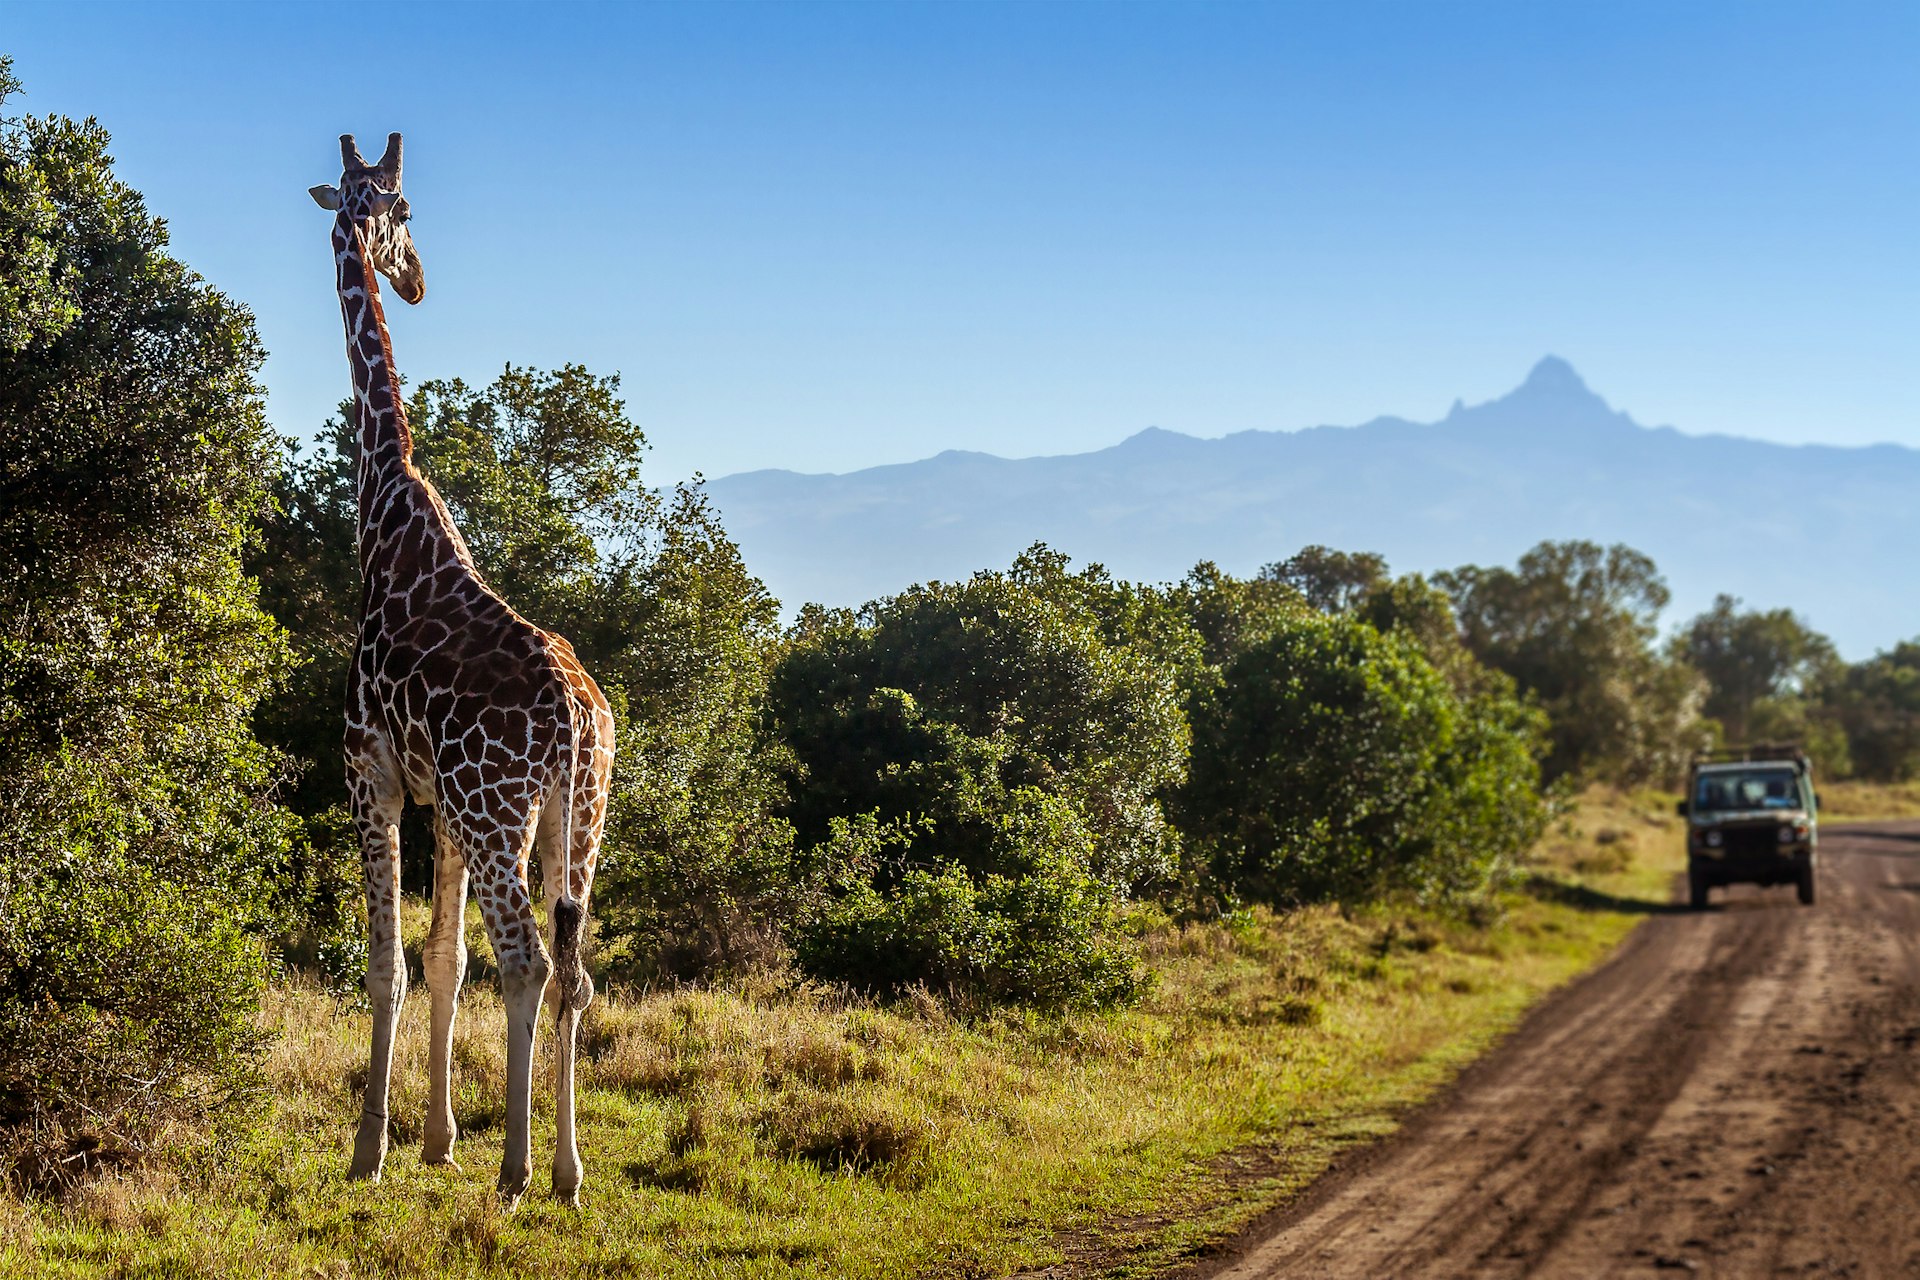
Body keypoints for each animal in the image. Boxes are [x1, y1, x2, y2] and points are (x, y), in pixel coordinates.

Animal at [311, 135, 614, 1205]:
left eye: (403, 209)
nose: (414, 280)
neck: (384, 506)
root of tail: (576, 720)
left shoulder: (370, 768)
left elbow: (388, 962)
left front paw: (370, 1151)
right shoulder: (438, 799)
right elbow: (443, 960)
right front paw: (438, 1139)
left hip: (498, 814)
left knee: (527, 958)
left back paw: (518, 1169)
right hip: (577, 819)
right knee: (575, 967)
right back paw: (566, 1170)